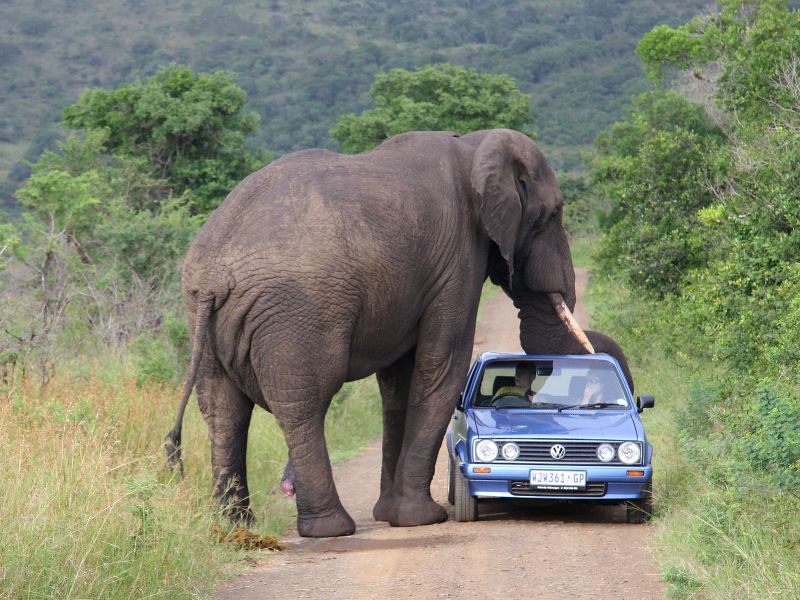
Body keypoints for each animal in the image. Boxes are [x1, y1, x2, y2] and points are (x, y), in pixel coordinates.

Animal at [166, 127, 592, 540]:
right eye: (553, 214)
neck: (474, 144)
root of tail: (214, 275)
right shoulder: (457, 260)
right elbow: (442, 366)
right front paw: (421, 519)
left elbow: (398, 384)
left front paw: (390, 515)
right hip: (297, 313)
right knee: (304, 405)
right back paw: (330, 530)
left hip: (200, 314)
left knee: (223, 410)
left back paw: (234, 528)